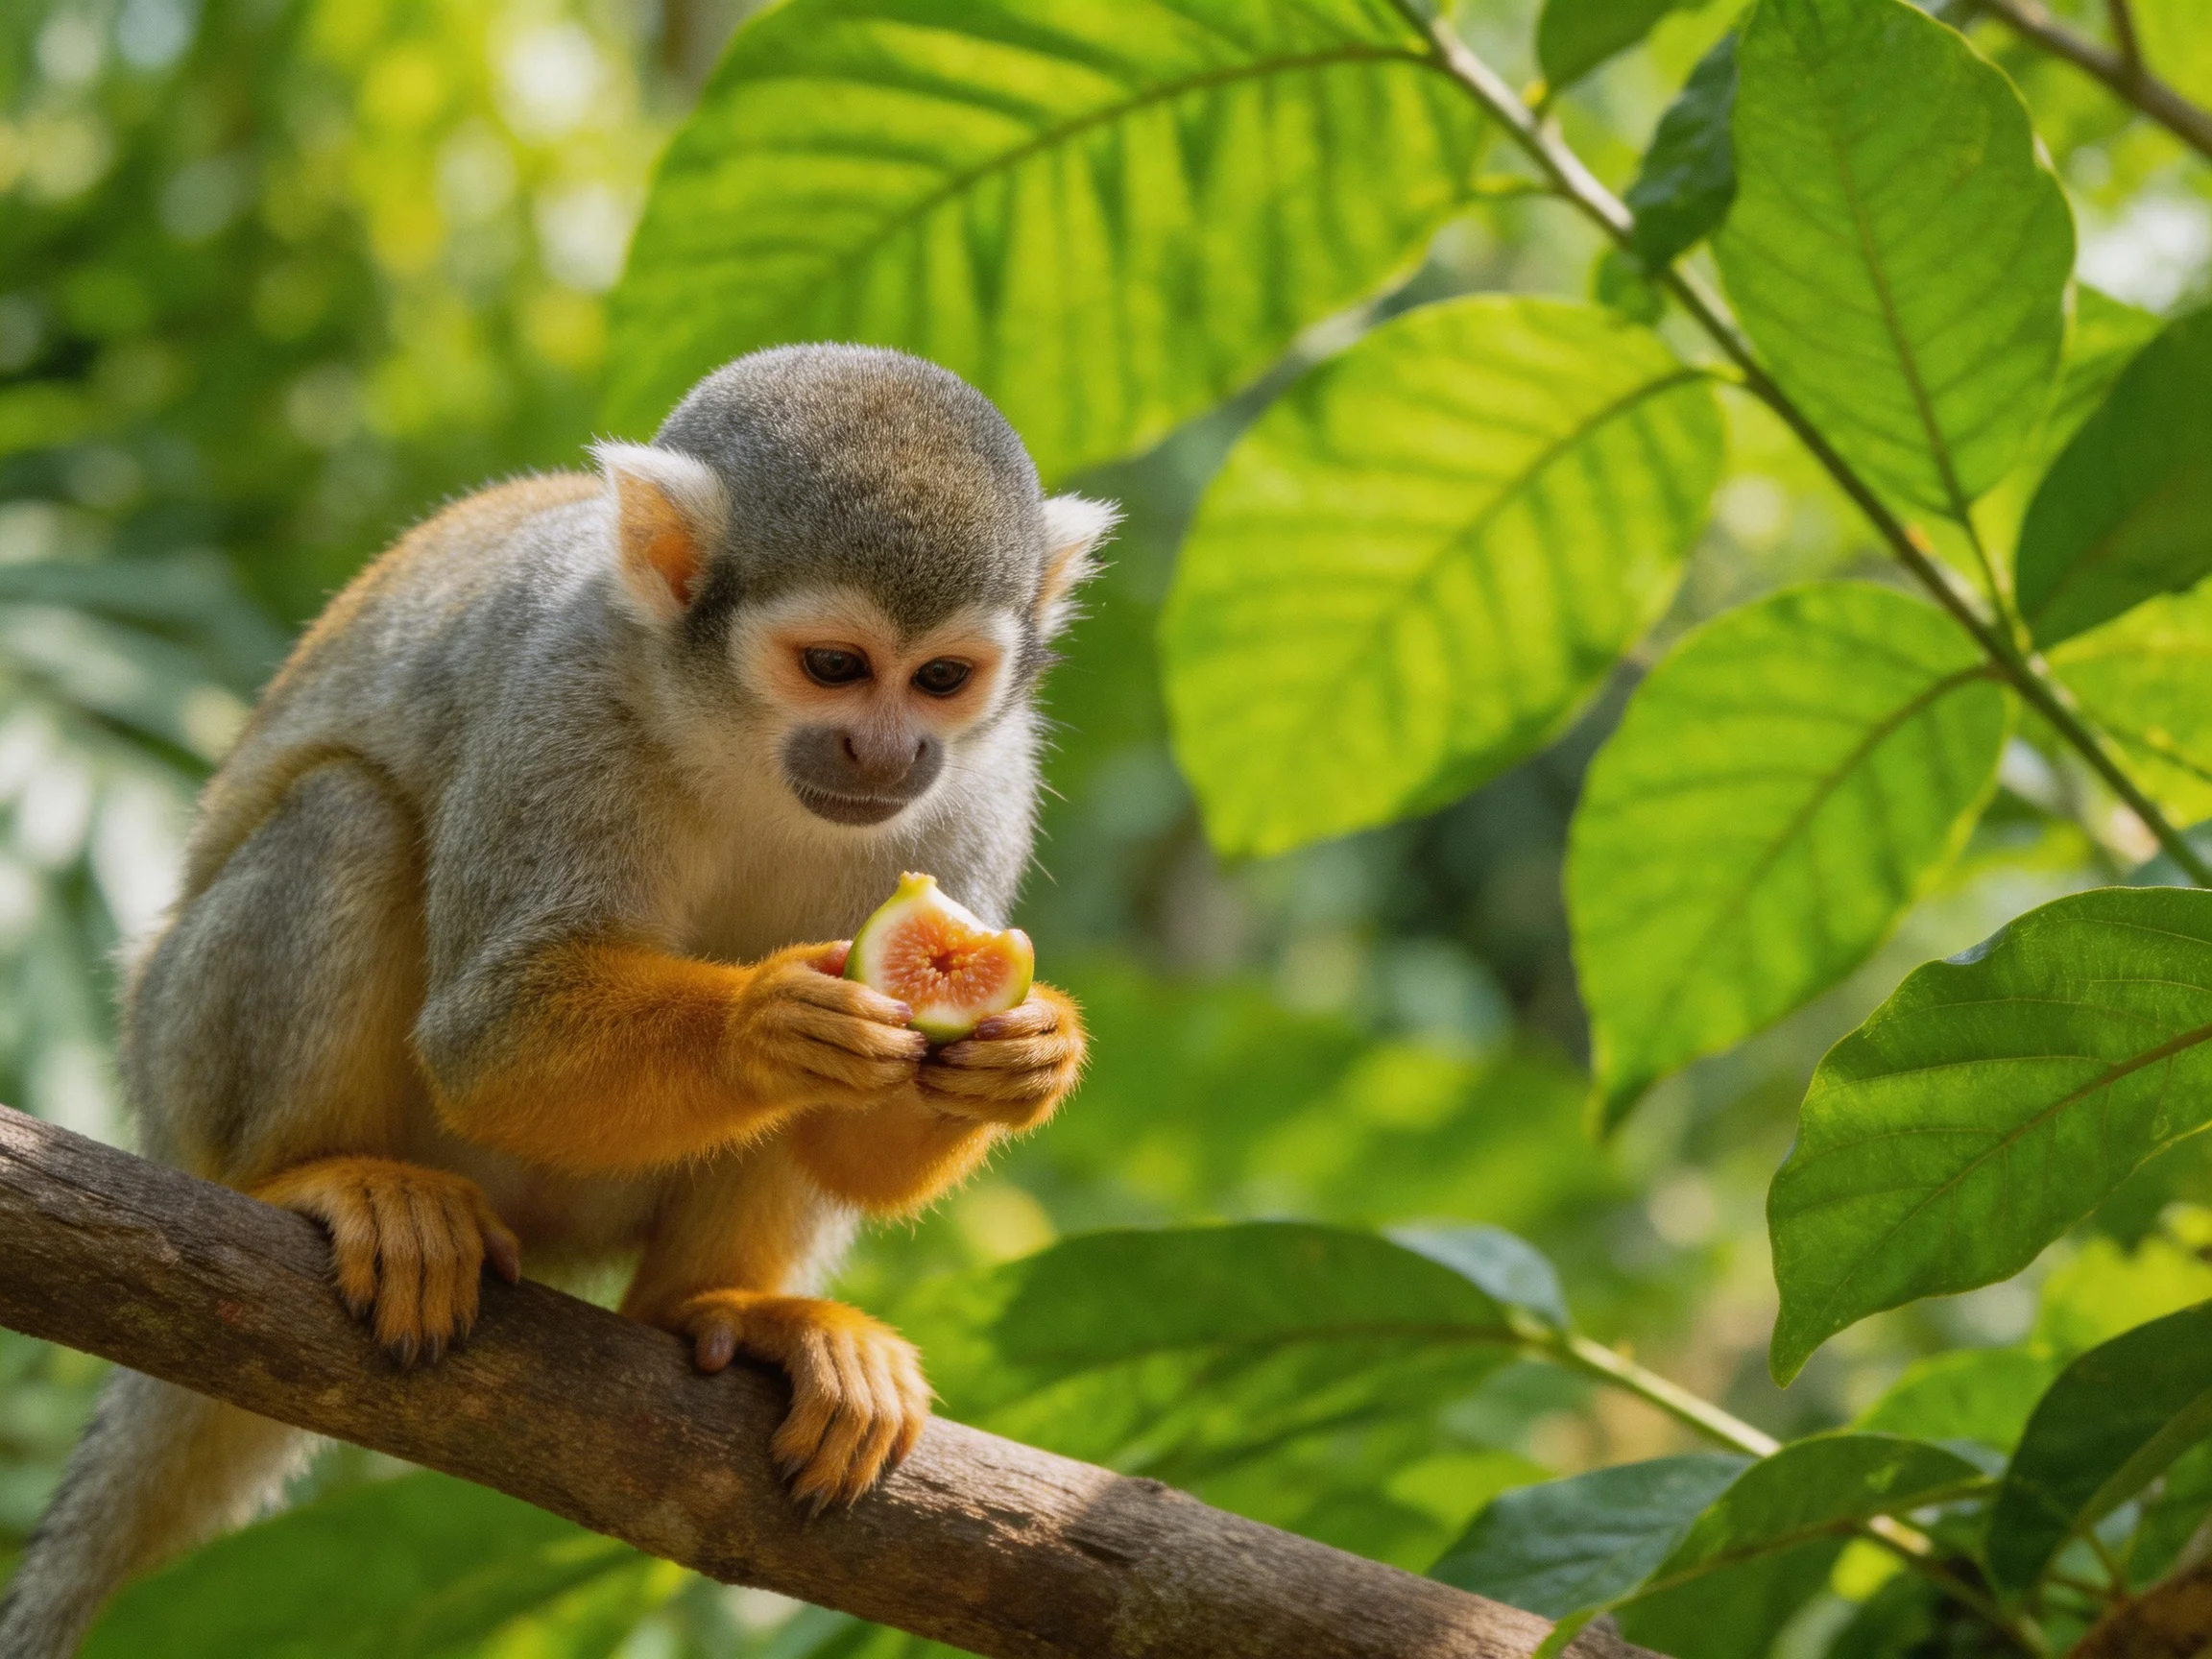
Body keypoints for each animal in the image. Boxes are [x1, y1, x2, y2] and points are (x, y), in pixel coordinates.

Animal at [0, 343, 1112, 1658]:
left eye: (942, 679)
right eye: (835, 667)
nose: (887, 756)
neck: (737, 740)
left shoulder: (988, 781)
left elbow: (857, 1142)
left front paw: (1029, 1056)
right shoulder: (563, 698)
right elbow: (490, 1034)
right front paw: (768, 1026)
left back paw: (720, 1305)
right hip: (173, 1060)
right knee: (349, 814)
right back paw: (319, 1176)